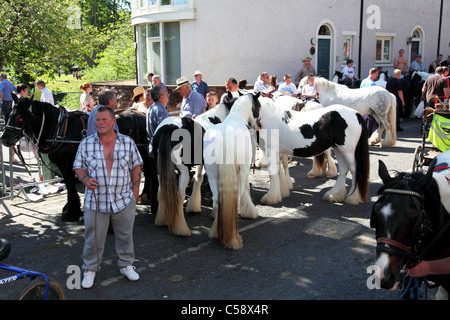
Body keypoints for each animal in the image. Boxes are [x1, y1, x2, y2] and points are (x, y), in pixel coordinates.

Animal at [1, 100, 156, 222]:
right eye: (7, 116)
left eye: (19, 118)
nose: (4, 139)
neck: (60, 128)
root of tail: (142, 115)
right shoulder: (64, 166)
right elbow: (69, 186)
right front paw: (70, 210)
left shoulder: (66, 165)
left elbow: (70, 186)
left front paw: (71, 212)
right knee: (148, 172)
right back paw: (144, 196)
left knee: (149, 171)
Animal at [203, 93, 260, 250]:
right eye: (258, 106)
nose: (256, 125)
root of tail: (224, 140)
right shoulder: (245, 169)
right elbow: (247, 189)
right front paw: (250, 211)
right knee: (237, 198)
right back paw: (233, 237)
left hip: (212, 175)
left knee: (218, 200)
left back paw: (217, 231)